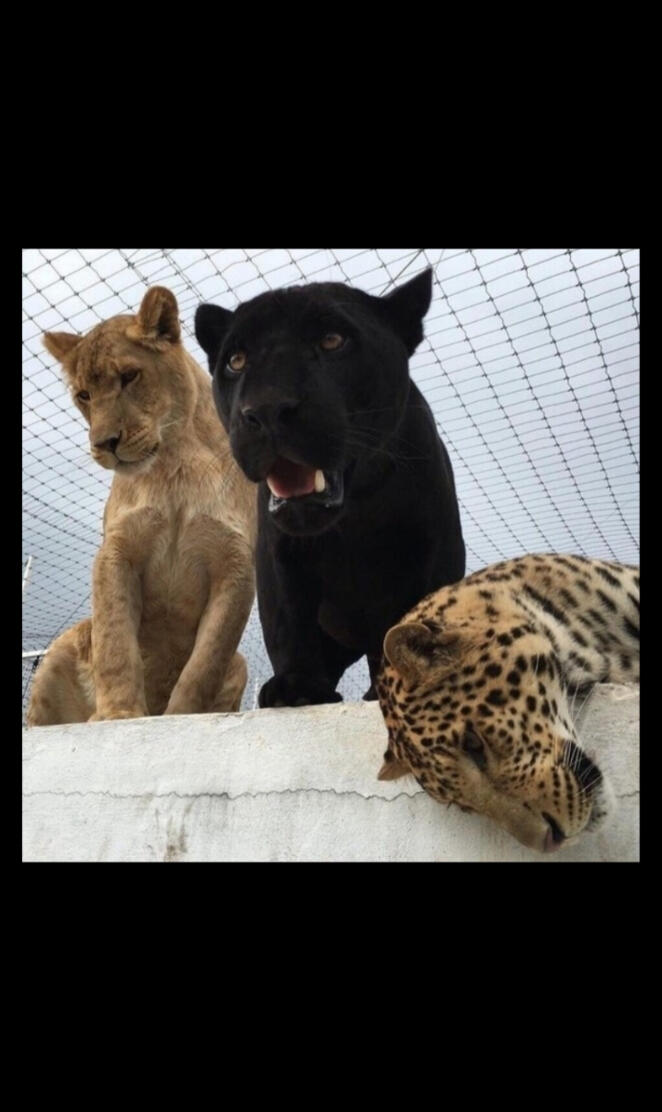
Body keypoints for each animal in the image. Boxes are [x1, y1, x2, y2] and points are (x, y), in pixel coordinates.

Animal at [26, 287, 257, 725]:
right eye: (83, 395)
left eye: (129, 376)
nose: (104, 444)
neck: (174, 461)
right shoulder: (118, 550)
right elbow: (115, 641)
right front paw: (118, 713)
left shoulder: (235, 564)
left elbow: (204, 663)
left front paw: (179, 716)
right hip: (59, 651)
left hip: (241, 664)